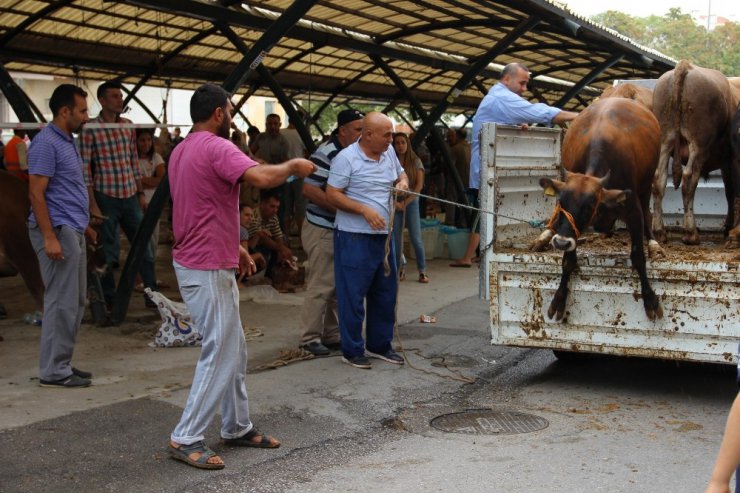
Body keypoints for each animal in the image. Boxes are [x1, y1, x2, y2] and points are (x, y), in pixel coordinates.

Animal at [652, 61, 736, 244]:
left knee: (659, 179)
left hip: (665, 139)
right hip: (698, 145)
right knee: (689, 180)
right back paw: (691, 233)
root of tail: (686, 66)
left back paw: (660, 231)